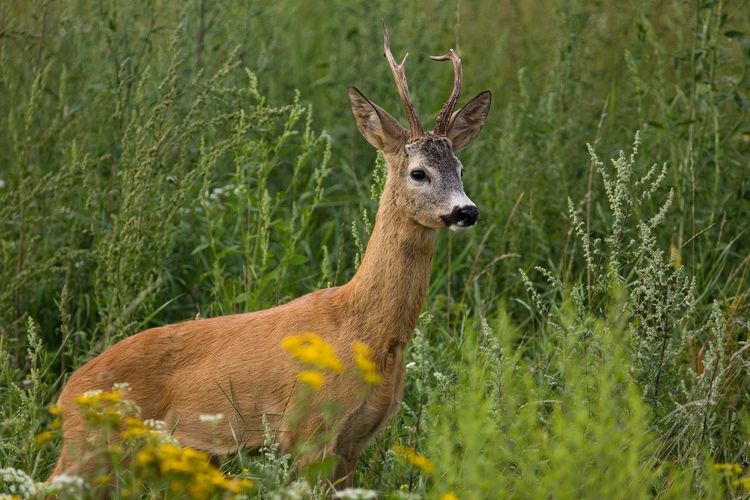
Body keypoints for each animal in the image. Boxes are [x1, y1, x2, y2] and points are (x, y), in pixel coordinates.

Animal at [48, 21, 494, 490]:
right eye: (418, 172)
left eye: (461, 169)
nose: (466, 211)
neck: (367, 334)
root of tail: (67, 392)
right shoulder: (310, 430)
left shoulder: (353, 443)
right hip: (90, 448)